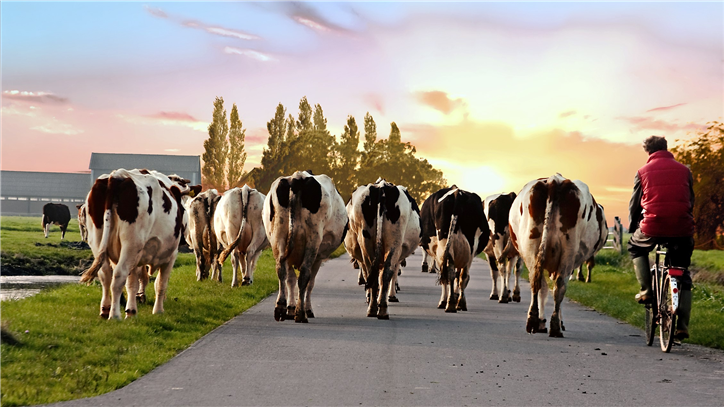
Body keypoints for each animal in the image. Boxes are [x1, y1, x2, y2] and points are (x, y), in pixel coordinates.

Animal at [79, 167, 194, 320]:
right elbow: (161, 283)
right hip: (131, 244)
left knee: (105, 274)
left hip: (98, 241)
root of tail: (117, 176)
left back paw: (105, 310)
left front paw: (131, 311)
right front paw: (158, 310)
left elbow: (132, 283)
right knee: (119, 275)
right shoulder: (171, 255)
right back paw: (114, 315)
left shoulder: (137, 258)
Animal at [264, 171, 348, 324]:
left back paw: (280, 308)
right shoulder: (318, 257)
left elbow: (290, 279)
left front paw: (290, 309)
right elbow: (310, 282)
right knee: (304, 274)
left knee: (281, 270)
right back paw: (301, 314)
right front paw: (306, 310)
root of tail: (297, 177)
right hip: (313, 238)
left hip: (279, 234)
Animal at [344, 179, 422, 318]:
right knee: (386, 273)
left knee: (374, 273)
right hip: (394, 242)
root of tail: (382, 187)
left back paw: (373, 308)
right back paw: (382, 309)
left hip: (366, 242)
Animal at [510, 174, 612, 336]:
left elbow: (544, 289)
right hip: (568, 252)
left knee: (539, 283)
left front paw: (542, 322)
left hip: (531, 249)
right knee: (559, 285)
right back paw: (554, 325)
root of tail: (554, 179)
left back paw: (535, 320)